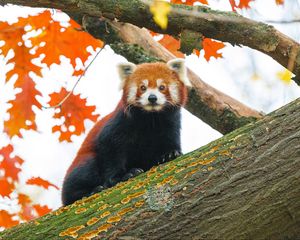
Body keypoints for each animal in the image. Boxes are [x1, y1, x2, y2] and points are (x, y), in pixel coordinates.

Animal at [62, 59, 191, 205]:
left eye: (162, 87)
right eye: (143, 87)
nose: (152, 98)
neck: (151, 118)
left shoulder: (171, 122)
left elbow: (170, 139)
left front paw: (170, 154)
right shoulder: (120, 123)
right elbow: (110, 149)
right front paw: (122, 176)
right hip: (81, 165)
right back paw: (90, 191)